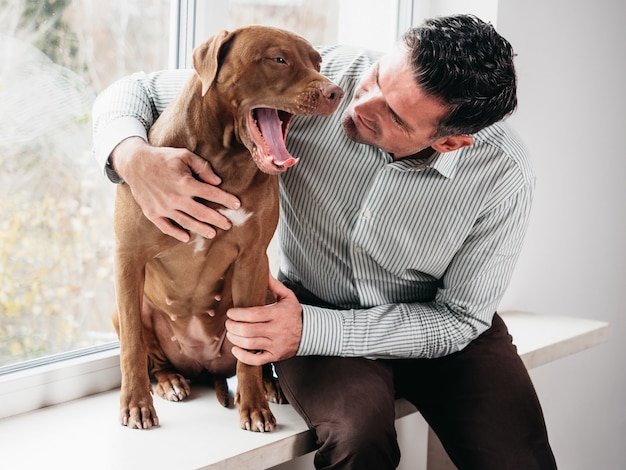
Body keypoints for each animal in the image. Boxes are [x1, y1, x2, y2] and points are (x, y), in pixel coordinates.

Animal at [112, 24, 342, 430]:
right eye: (278, 59)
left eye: (317, 62)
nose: (336, 91)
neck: (225, 158)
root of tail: (204, 367)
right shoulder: (128, 257)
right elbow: (132, 345)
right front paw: (136, 403)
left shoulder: (252, 260)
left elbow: (250, 352)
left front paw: (254, 407)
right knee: (148, 350)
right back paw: (169, 380)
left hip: (265, 289)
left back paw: (269, 384)